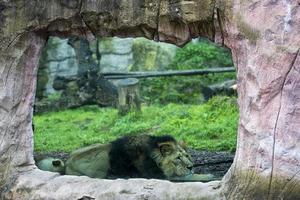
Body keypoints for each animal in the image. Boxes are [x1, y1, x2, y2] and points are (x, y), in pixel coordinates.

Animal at [65, 134, 213, 181]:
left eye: (187, 156)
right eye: (177, 158)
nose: (191, 167)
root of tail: (67, 163)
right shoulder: (158, 176)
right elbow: (187, 177)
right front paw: (208, 176)